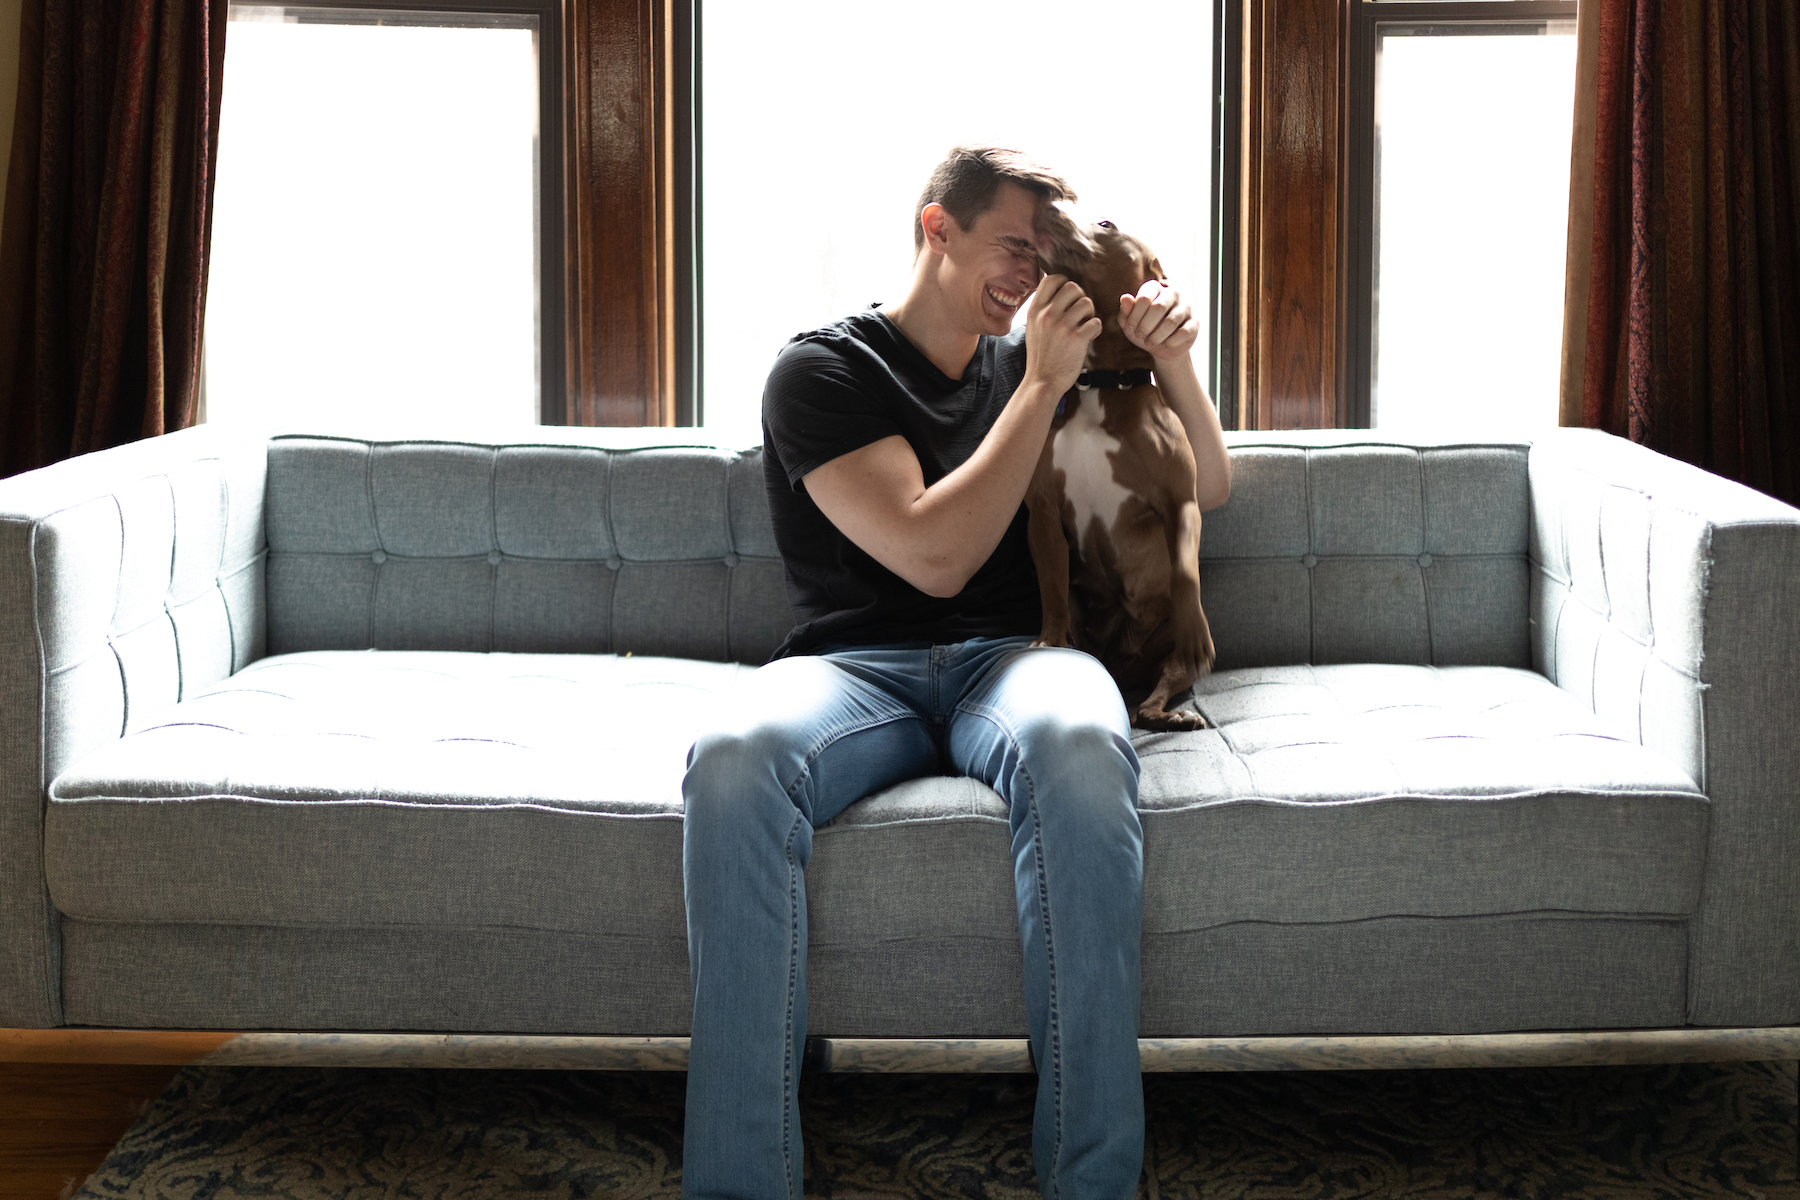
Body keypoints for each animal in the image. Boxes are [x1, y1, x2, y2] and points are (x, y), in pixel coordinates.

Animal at [1025, 216, 1215, 731]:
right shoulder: (1043, 512)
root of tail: (1121, 662)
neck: (1101, 385)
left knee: (1160, 690)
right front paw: (1047, 641)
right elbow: (1051, 588)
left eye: (1105, 223)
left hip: (1166, 649)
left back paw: (1172, 714)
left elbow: (1185, 572)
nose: (1047, 208)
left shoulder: (1181, 502)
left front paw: (1196, 628)